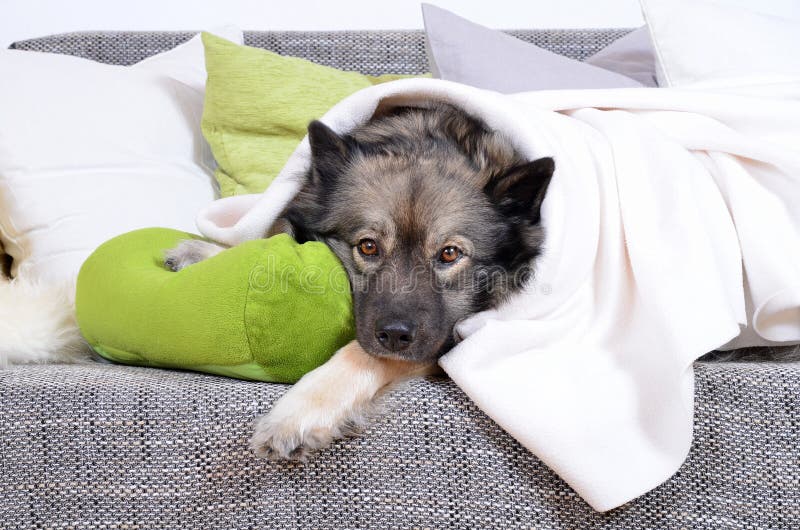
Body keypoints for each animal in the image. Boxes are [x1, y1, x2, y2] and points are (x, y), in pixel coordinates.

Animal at [168, 102, 556, 458]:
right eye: (368, 246)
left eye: (449, 254)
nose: (395, 335)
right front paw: (209, 252)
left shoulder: (453, 336)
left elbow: (365, 355)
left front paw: (297, 413)